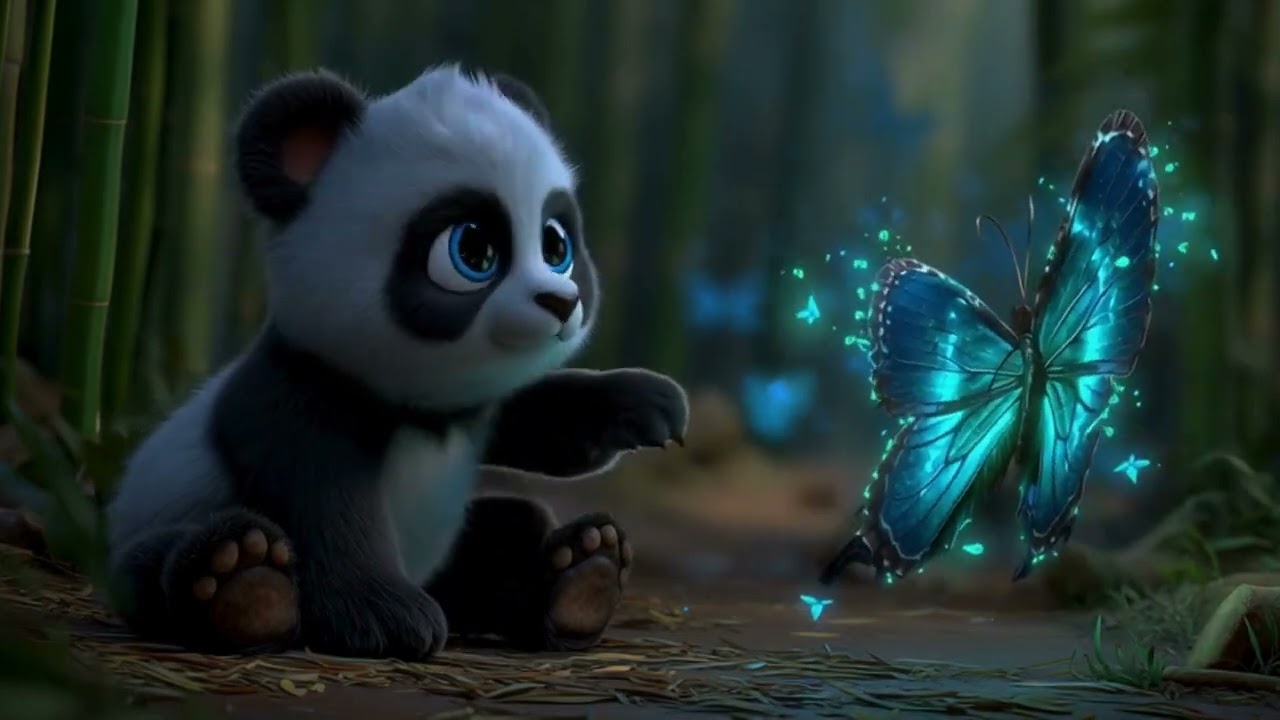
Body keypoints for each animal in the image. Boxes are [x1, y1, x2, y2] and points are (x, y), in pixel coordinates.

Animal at [105, 64, 689, 660]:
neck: (418, 407)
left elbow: (545, 424)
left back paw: (584, 576)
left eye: (556, 245)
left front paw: (648, 402)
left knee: (509, 532)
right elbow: (326, 501)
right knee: (160, 563)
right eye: (473, 250)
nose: (561, 302)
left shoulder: (479, 408)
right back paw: (245, 586)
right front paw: (386, 618)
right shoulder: (298, 391)